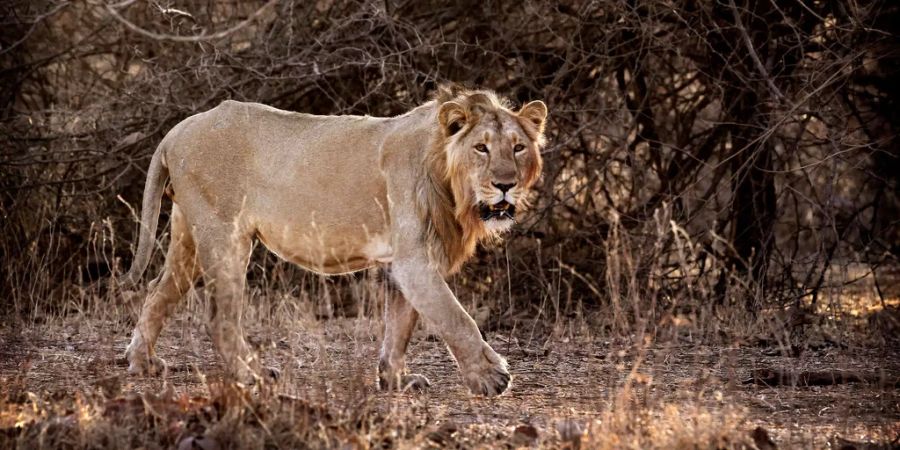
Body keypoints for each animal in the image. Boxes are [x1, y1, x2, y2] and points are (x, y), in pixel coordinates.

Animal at [121, 85, 548, 398]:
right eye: (481, 147)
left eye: (518, 147)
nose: (506, 184)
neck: (448, 178)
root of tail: (177, 130)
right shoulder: (415, 260)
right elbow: (456, 318)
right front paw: (490, 377)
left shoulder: (401, 263)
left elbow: (401, 324)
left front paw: (394, 379)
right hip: (224, 234)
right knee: (219, 317)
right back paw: (253, 374)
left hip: (188, 236)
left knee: (157, 291)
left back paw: (143, 362)